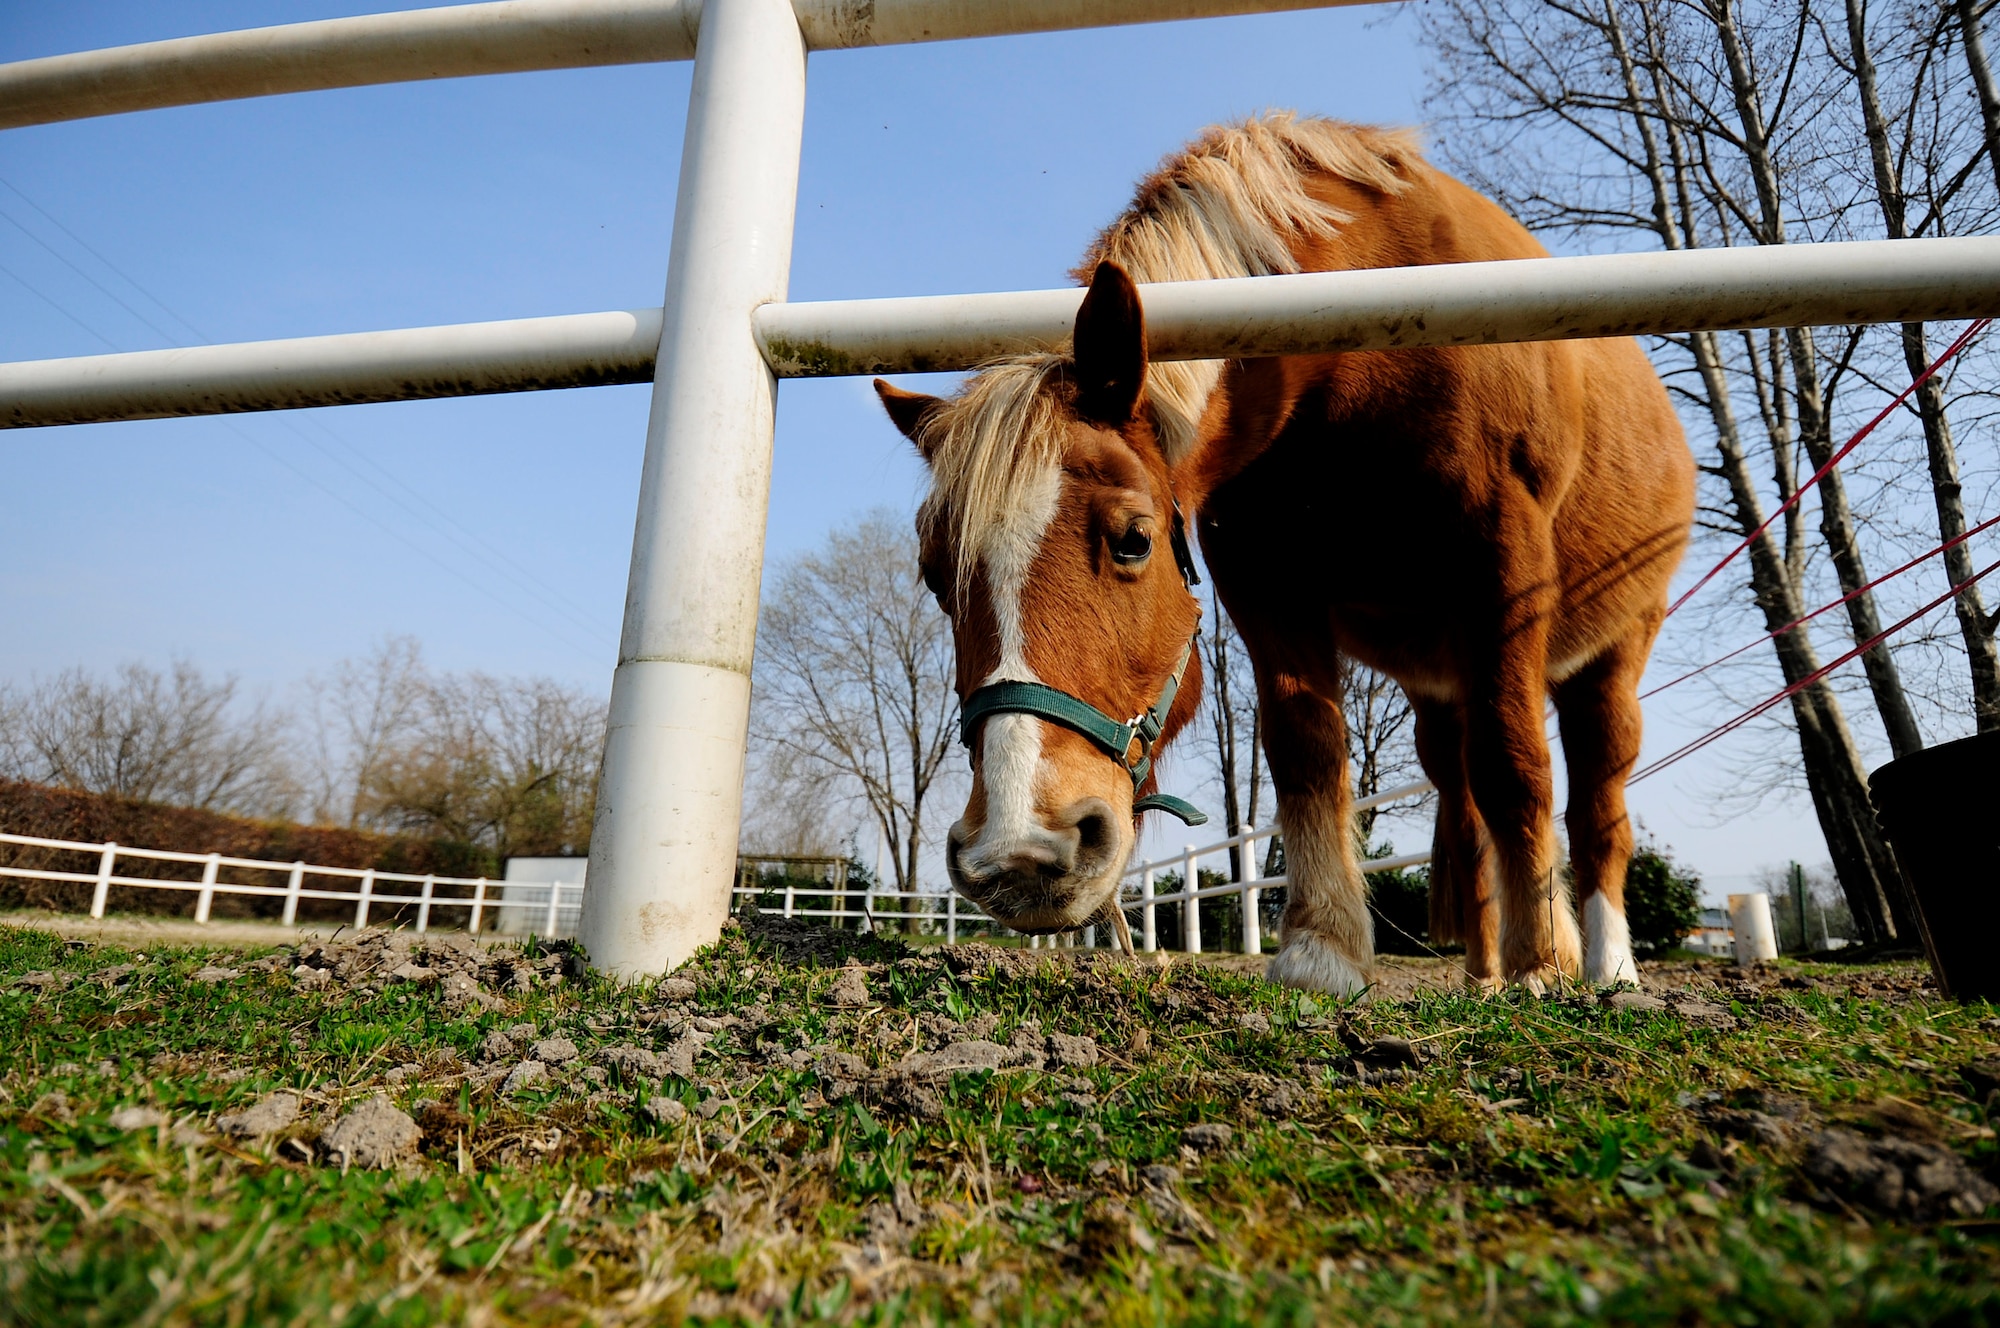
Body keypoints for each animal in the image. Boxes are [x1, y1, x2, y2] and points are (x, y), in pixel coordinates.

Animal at [874, 114, 1695, 993]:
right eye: (934, 576)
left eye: (1133, 541)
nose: (1020, 853)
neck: (1363, 341)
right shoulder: (1261, 578)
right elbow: (1307, 748)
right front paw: (1322, 948)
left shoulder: (1505, 567)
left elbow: (1517, 763)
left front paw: (1544, 960)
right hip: (1441, 686)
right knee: (1462, 799)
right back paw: (1483, 975)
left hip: (1610, 655)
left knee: (1597, 802)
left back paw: (1606, 968)